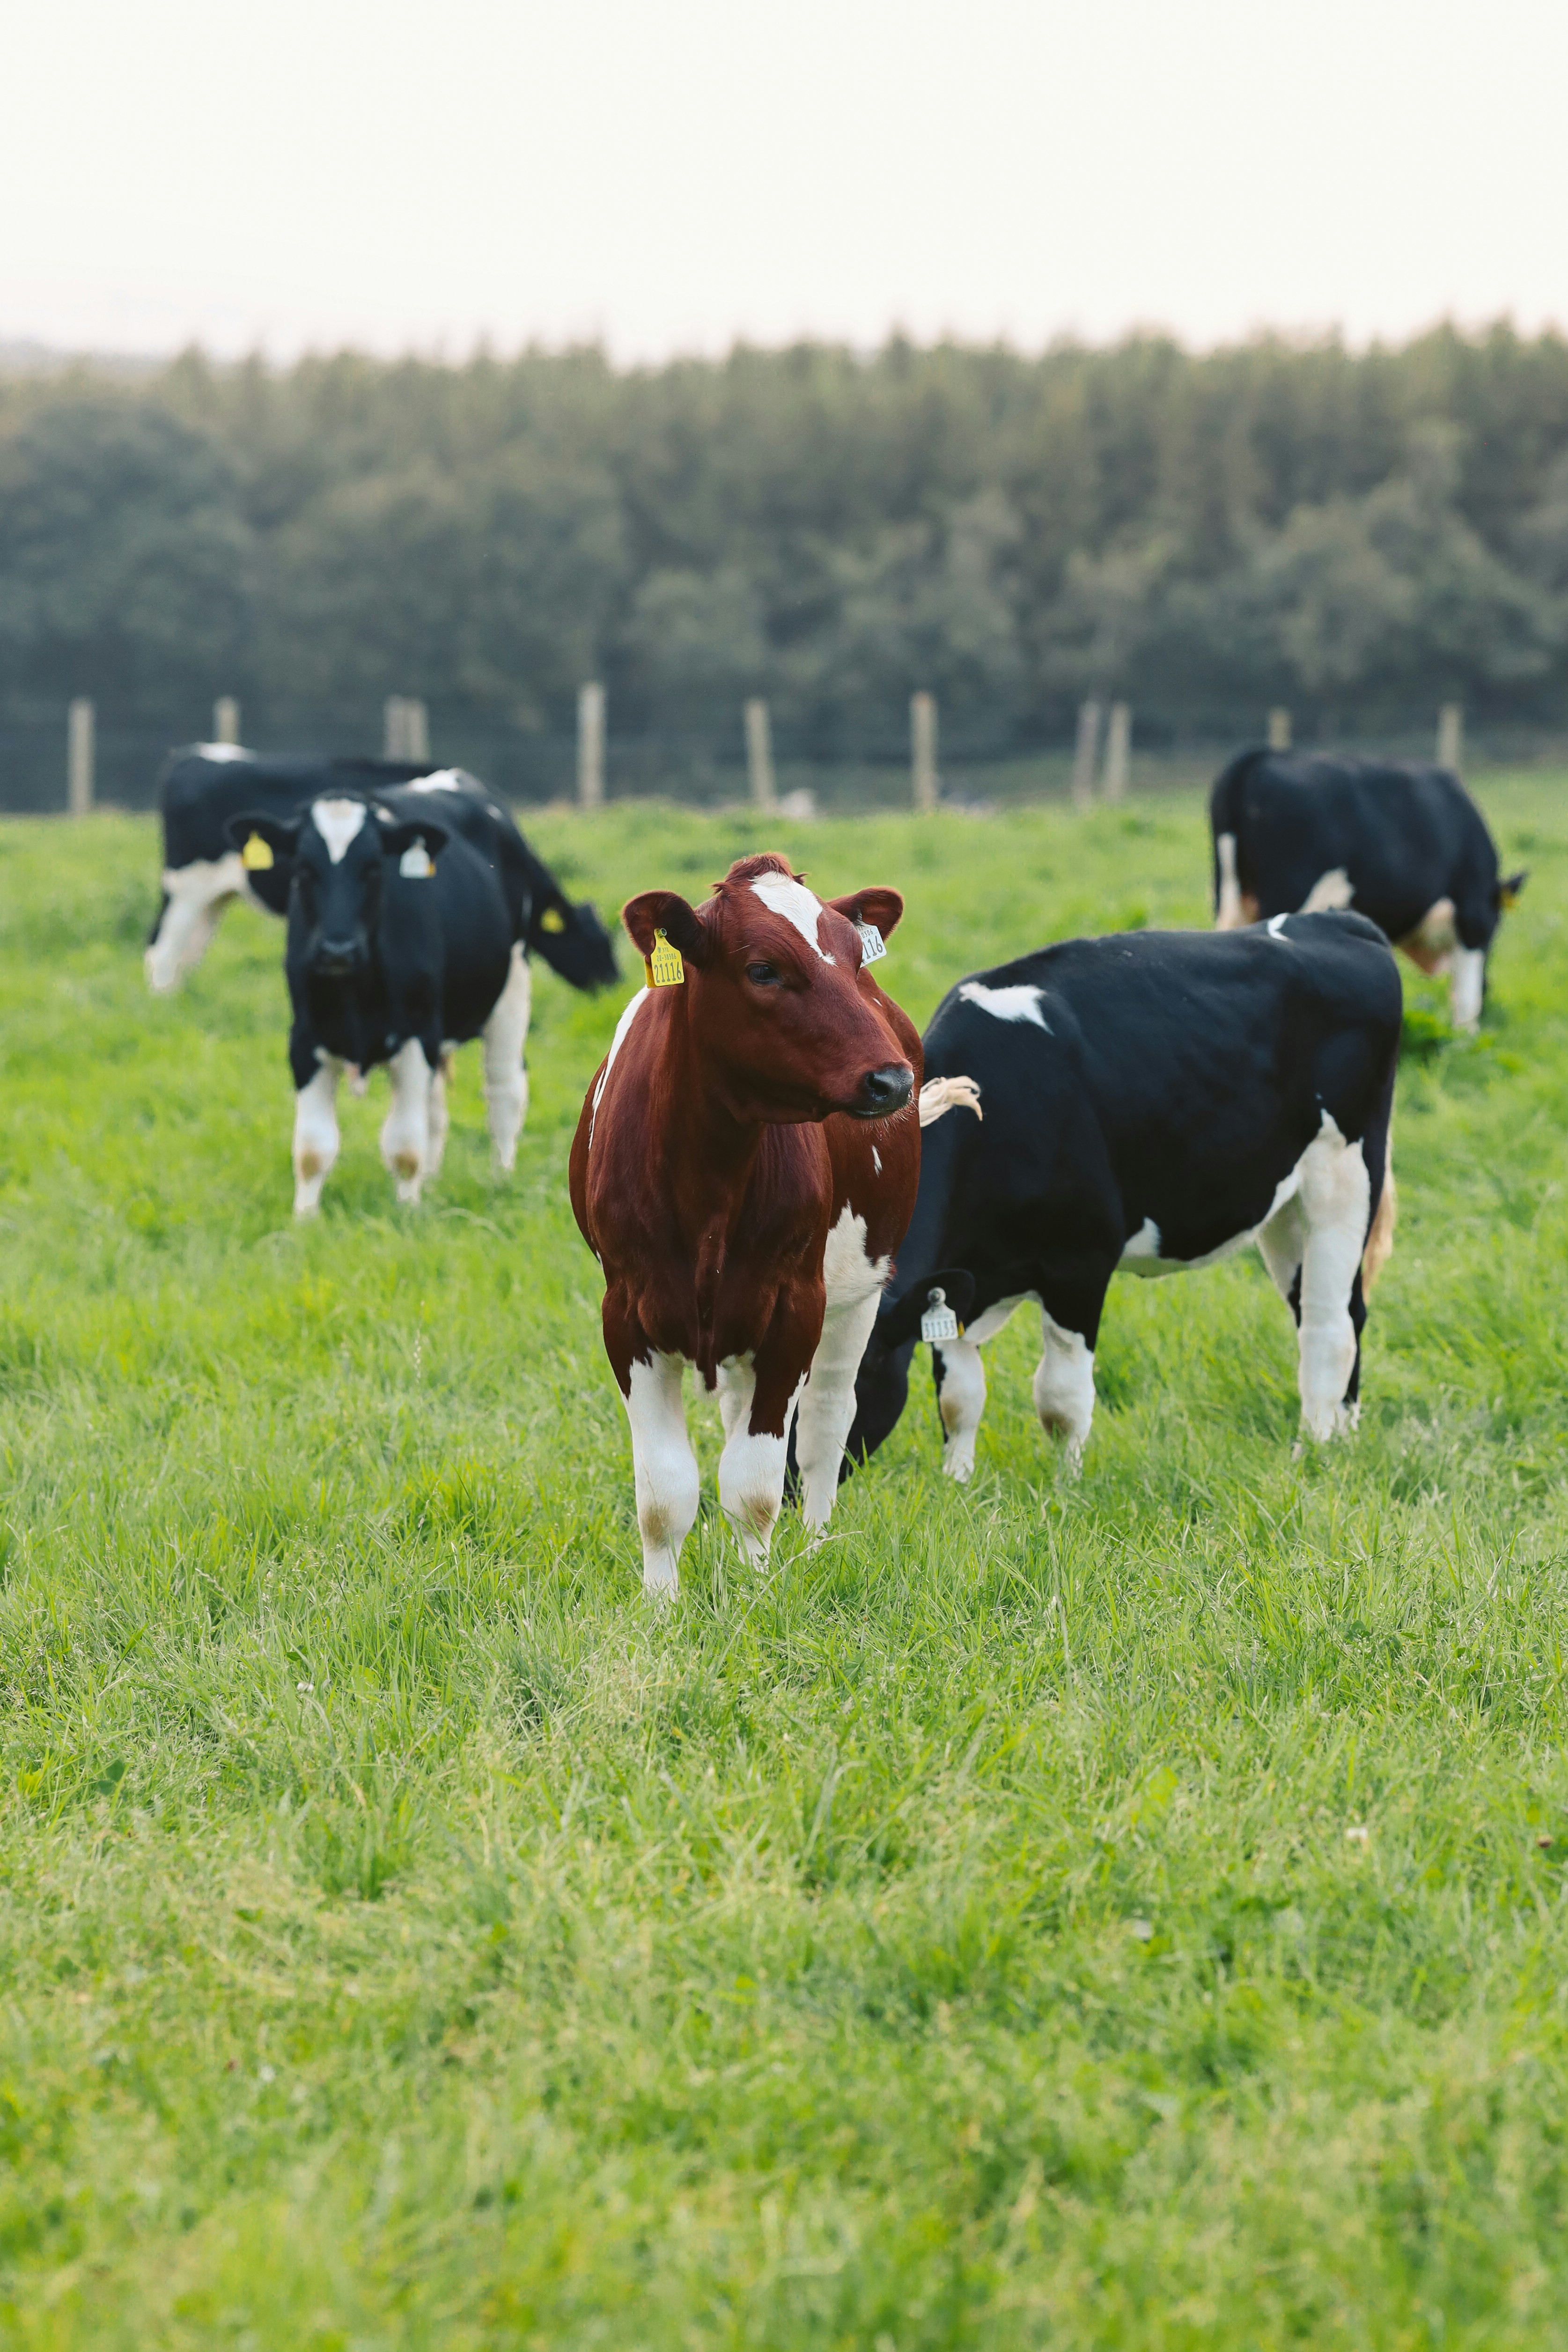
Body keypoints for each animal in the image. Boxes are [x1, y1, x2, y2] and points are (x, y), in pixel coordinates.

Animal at [145, 744, 617, 1000]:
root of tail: (192, 755)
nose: (613, 985)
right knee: (162, 952)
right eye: (598, 944)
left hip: (213, 896)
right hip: (186, 887)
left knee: (186, 957)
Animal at [225, 792, 524, 1213]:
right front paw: (304, 1219)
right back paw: (433, 1183)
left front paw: (408, 1213)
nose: (338, 950)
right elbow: (312, 1149)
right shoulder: (304, 1041)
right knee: (436, 1112)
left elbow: (405, 1147)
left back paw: (501, 1179)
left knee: (503, 1091)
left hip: (512, 988)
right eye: (304, 869)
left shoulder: (417, 1037)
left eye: (372, 868)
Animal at [570, 852, 922, 1597]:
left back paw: (815, 1545)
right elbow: (664, 1490)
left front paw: (757, 1590)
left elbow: (755, 1483)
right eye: (763, 969)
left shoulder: (795, 1308)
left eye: (854, 959)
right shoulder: (626, 1316)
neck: (709, 1176)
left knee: (824, 1428)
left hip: (859, 1290)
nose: (891, 1080)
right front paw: (662, 1604)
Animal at [843, 911, 1402, 1488]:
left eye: (853, 1376)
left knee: (1327, 1323)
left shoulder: (1080, 1263)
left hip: (1344, 1175)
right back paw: (1343, 1435)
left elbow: (1061, 1399)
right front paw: (957, 1482)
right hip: (1283, 1209)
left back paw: (1312, 1449)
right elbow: (959, 1395)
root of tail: (1335, 920)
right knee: (1349, 1308)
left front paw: (1065, 1489)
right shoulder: (960, 1279)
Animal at [1210, 748, 1525, 1030]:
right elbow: (1467, 999)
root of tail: (1261, 756)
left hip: (1229, 896)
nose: (1489, 989)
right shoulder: (1474, 916)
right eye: (1496, 929)